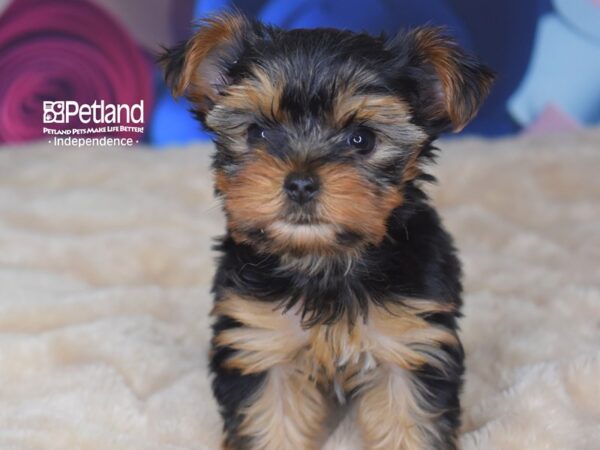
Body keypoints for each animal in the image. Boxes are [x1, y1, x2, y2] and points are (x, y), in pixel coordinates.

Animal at [159, 11, 492, 450]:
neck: (322, 261)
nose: (301, 182)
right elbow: (271, 421)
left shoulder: (410, 342)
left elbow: (408, 421)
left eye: (362, 139)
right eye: (257, 132)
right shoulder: (260, 339)